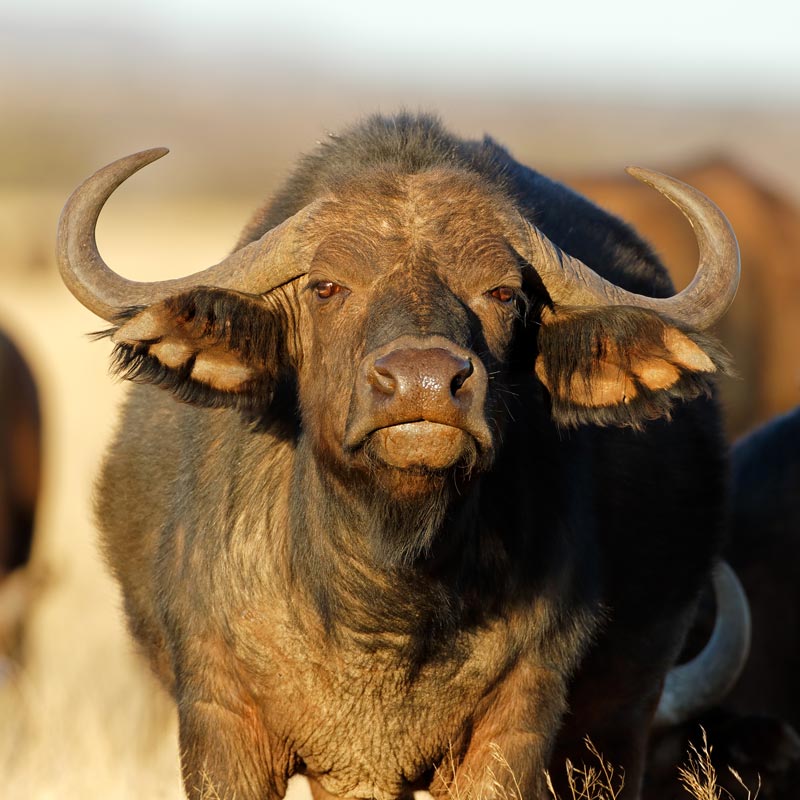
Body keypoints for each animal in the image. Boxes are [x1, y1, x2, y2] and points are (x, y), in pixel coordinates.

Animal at [59, 114, 748, 800]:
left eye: (504, 293)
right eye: (326, 287)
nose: (425, 381)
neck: (386, 590)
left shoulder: (515, 725)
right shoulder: (224, 720)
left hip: (620, 720)